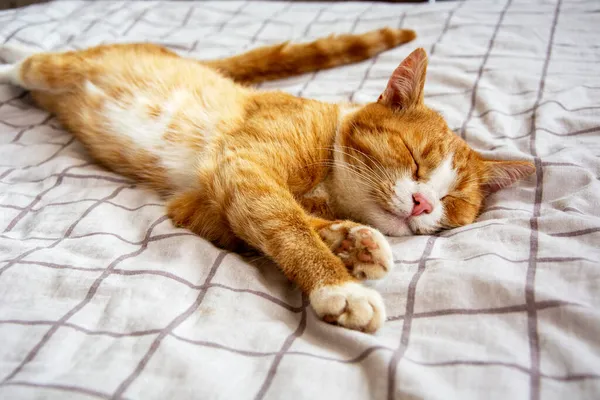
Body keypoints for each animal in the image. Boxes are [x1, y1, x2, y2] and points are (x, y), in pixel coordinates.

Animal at [0, 28, 536, 332]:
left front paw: (352, 241)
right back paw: (10, 57)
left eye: (451, 201)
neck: (329, 185)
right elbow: (286, 224)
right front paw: (338, 285)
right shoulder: (244, 166)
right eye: (415, 159)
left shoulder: (199, 204)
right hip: (56, 66)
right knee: (29, 62)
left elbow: (269, 224)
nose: (424, 203)